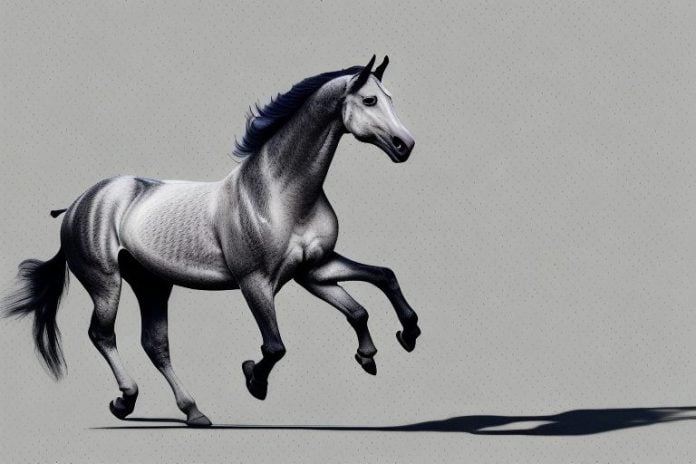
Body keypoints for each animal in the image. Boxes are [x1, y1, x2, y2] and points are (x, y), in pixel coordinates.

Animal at [2, 55, 421, 426]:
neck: (278, 194)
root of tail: (78, 203)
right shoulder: (255, 281)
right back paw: (125, 401)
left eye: (390, 97)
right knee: (102, 335)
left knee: (156, 345)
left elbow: (373, 289)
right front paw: (254, 379)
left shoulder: (314, 269)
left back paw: (194, 412)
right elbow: (275, 346)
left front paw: (394, 342)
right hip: (106, 282)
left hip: (151, 283)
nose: (405, 145)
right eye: (370, 100)